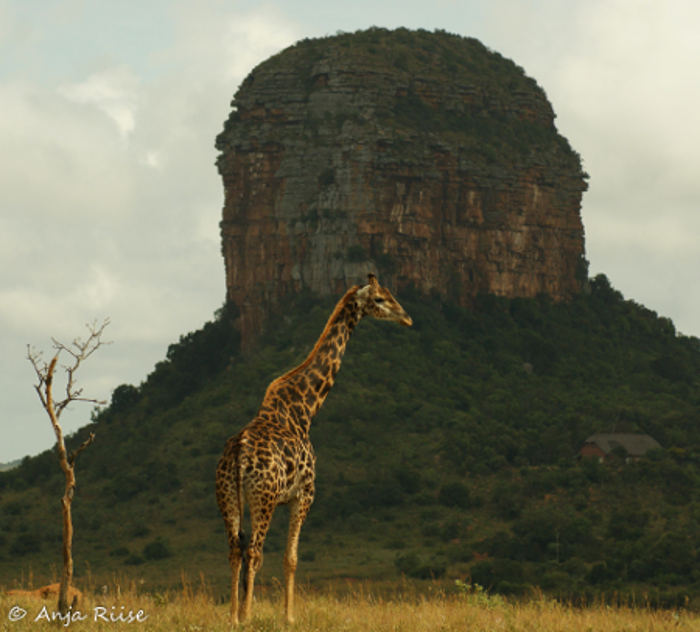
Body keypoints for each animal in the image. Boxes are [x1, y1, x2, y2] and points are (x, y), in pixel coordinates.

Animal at [215, 273, 412, 625]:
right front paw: (289, 618)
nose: (407, 317)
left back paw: (233, 617)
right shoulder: (304, 494)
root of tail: (238, 455)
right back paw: (247, 616)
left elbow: (283, 556)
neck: (305, 408)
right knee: (254, 551)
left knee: (235, 550)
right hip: (263, 498)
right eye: (379, 299)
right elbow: (291, 557)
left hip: (228, 498)